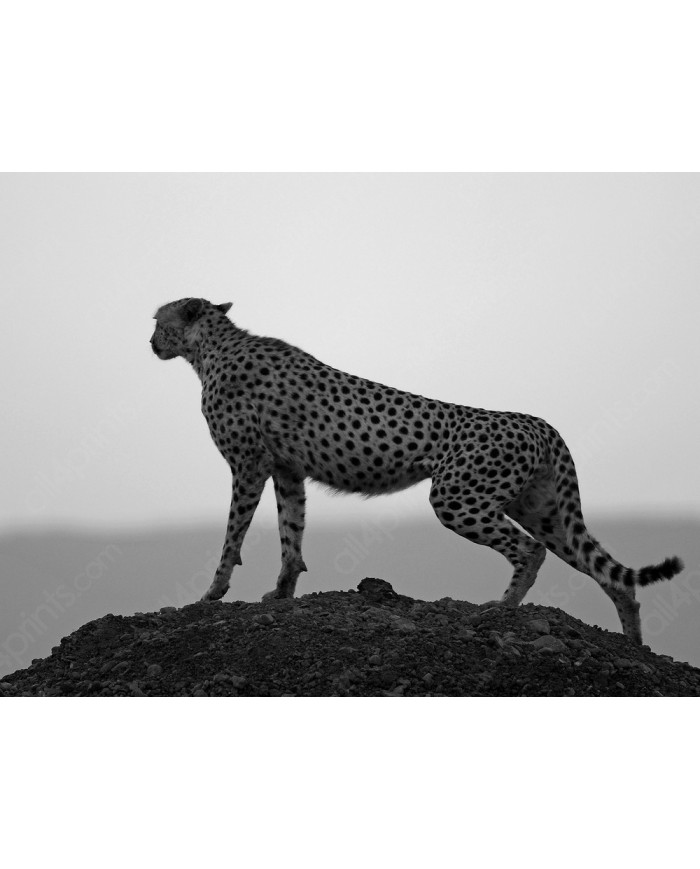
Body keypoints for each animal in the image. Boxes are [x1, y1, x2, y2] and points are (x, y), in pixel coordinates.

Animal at [150, 297, 683, 644]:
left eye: (158, 320)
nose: (150, 341)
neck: (211, 347)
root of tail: (537, 421)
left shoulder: (249, 466)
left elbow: (233, 536)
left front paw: (212, 593)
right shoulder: (287, 470)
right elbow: (291, 535)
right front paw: (282, 592)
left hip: (457, 498)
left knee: (530, 550)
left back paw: (502, 609)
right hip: (541, 509)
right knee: (611, 574)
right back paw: (634, 643)